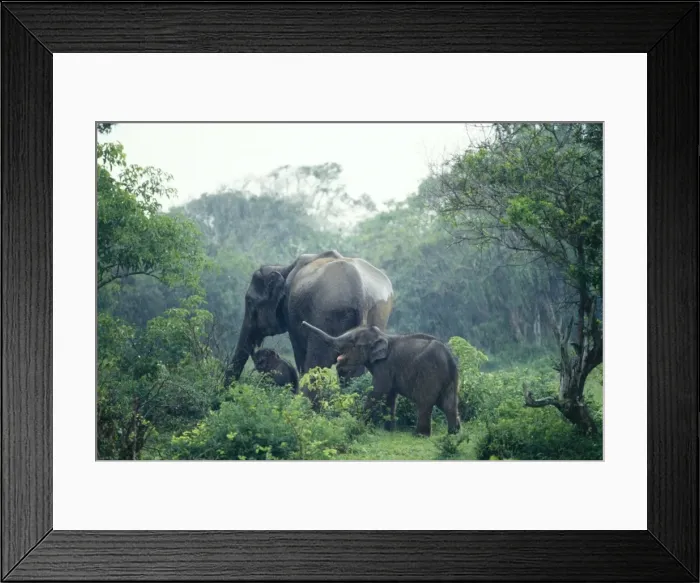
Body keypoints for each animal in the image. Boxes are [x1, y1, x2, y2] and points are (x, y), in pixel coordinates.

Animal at [224, 250, 394, 390]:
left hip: (327, 314)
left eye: (249, 302)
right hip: (377, 315)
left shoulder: (291, 315)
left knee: (317, 364)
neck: (283, 268)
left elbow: (299, 352)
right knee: (350, 370)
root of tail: (361, 294)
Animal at [302, 321, 461, 437]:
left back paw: (420, 435)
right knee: (448, 403)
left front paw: (357, 423)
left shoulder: (384, 366)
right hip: (451, 377)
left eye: (352, 342)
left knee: (425, 402)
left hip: (429, 373)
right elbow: (389, 396)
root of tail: (448, 357)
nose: (303, 322)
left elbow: (378, 391)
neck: (382, 336)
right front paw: (388, 430)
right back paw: (454, 433)